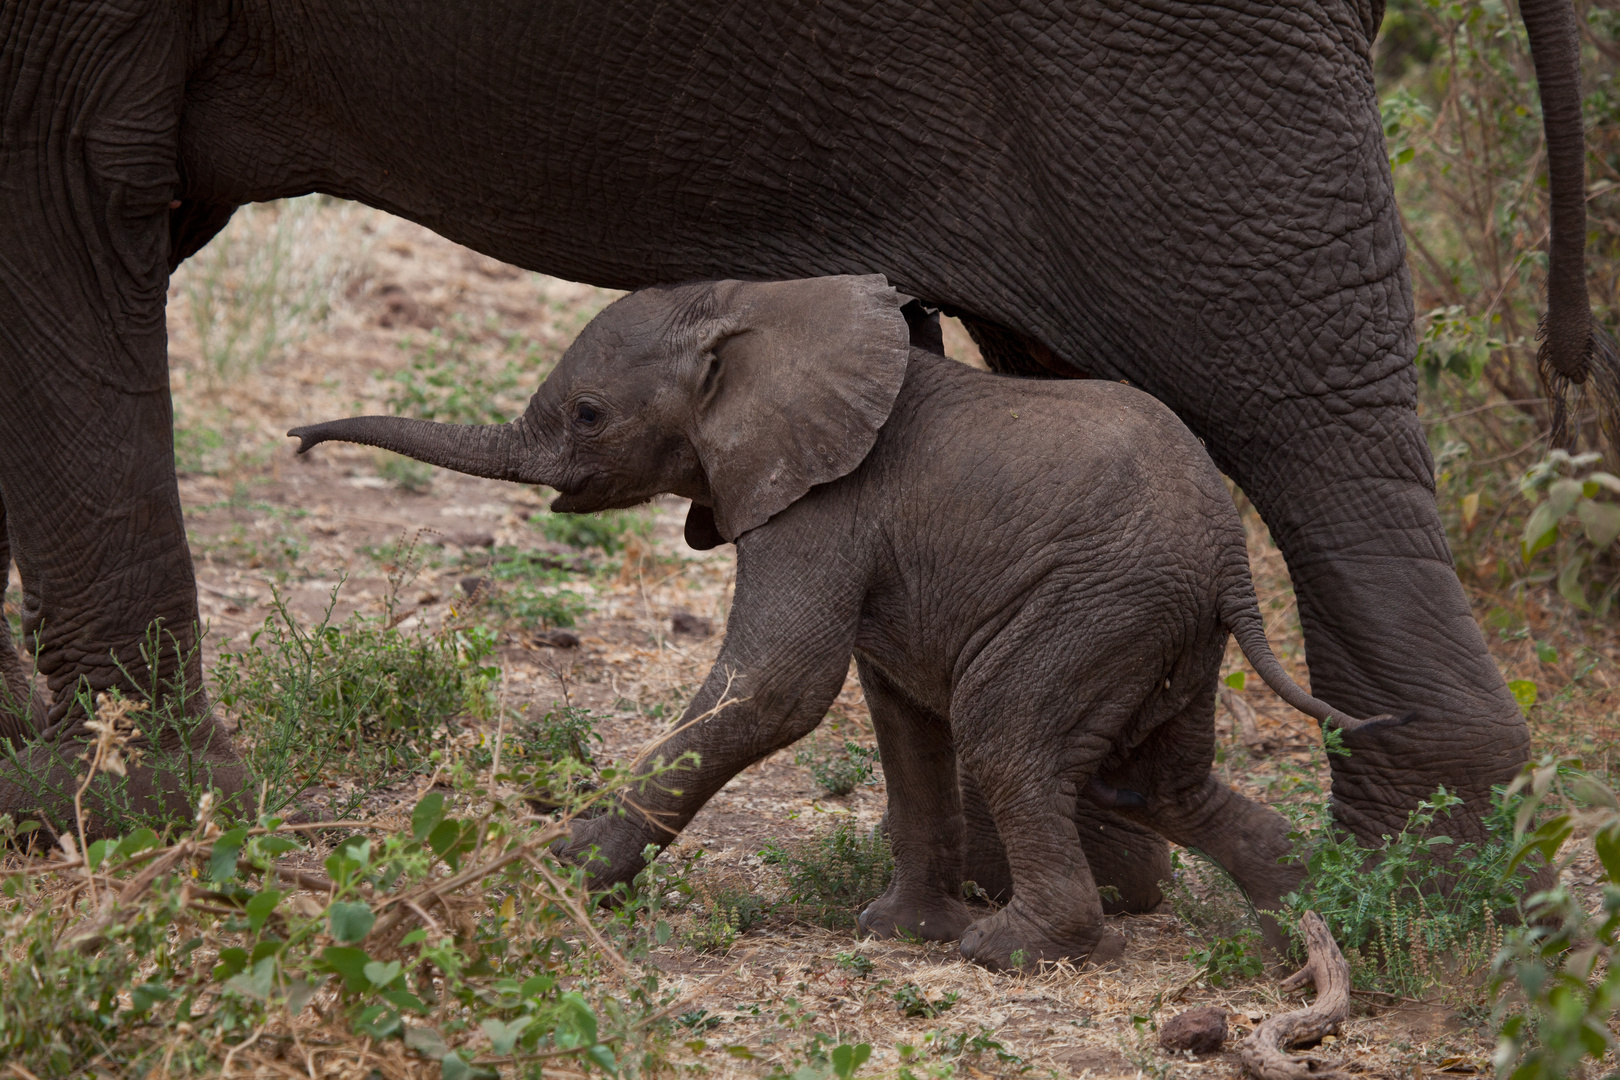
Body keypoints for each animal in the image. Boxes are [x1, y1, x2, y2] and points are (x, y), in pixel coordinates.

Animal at [0, 0, 1600, 841]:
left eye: (592, 412)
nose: (301, 446)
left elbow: (55, 205)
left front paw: (111, 809)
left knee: (1296, 409)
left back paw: (1414, 882)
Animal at [291, 276, 1367, 971]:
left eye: (590, 415)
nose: (300, 441)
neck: (754, 310)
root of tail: (1231, 558)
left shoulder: (821, 503)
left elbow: (778, 688)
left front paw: (566, 870)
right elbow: (898, 717)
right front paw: (896, 933)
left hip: (1097, 605)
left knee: (1009, 736)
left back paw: (1018, 950)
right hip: (1154, 631)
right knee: (1153, 780)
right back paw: (1302, 942)